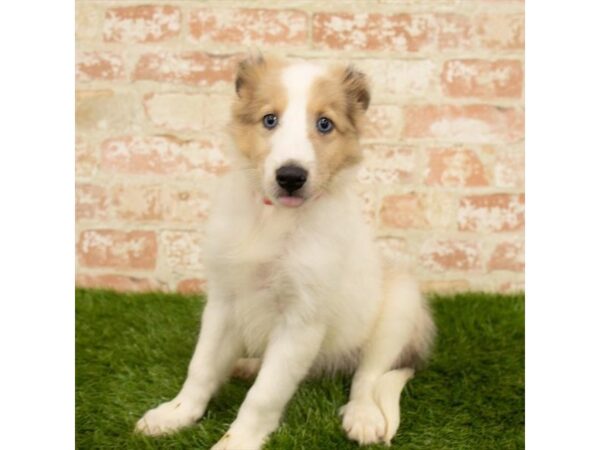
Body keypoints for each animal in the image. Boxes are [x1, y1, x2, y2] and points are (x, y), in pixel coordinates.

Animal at [136, 55, 436, 450]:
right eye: (269, 119)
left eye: (324, 124)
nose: (290, 176)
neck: (274, 218)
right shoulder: (223, 299)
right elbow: (200, 367)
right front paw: (175, 414)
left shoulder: (302, 319)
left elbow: (265, 394)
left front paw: (236, 441)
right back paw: (245, 365)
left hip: (399, 306)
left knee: (368, 375)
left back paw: (363, 416)